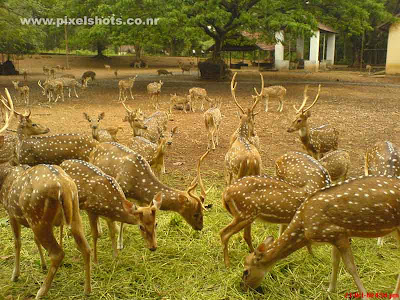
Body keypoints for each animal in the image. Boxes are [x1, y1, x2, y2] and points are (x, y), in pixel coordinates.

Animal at [0, 164, 91, 300]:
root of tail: (64, 186)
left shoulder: (11, 213)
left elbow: (17, 242)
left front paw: (15, 275)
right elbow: (35, 240)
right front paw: (43, 265)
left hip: (37, 218)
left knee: (57, 253)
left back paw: (41, 292)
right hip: (74, 213)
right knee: (86, 248)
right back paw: (87, 290)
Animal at [241, 176, 400, 300]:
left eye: (246, 271)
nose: (244, 290)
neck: (304, 229)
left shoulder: (337, 234)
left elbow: (351, 267)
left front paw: (365, 295)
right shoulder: (336, 236)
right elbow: (335, 262)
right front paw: (329, 290)